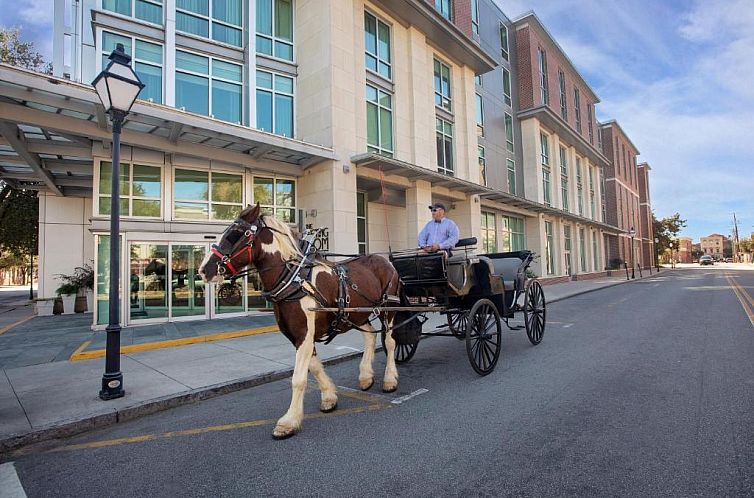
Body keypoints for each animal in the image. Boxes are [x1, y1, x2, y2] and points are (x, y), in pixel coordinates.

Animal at [198, 204, 400, 438]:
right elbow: (315, 367)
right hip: (357, 314)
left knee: (390, 342)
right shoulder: (297, 335)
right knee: (369, 337)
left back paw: (389, 379)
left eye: (236, 234)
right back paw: (366, 377)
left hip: (389, 309)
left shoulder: (304, 332)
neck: (294, 280)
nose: (204, 270)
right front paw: (329, 397)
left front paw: (289, 421)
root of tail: (385, 260)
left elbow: (298, 378)